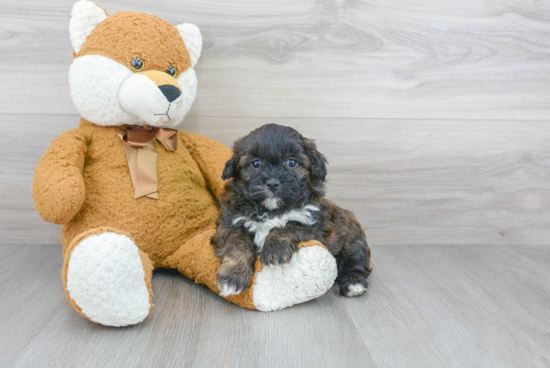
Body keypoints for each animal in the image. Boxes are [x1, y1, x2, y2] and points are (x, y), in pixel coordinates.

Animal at [213, 124, 374, 300]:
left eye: (291, 162)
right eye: (256, 163)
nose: (272, 183)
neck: (272, 210)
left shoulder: (317, 226)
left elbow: (287, 226)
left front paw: (275, 251)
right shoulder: (230, 223)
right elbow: (238, 244)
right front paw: (232, 276)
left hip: (352, 241)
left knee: (356, 262)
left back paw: (354, 283)